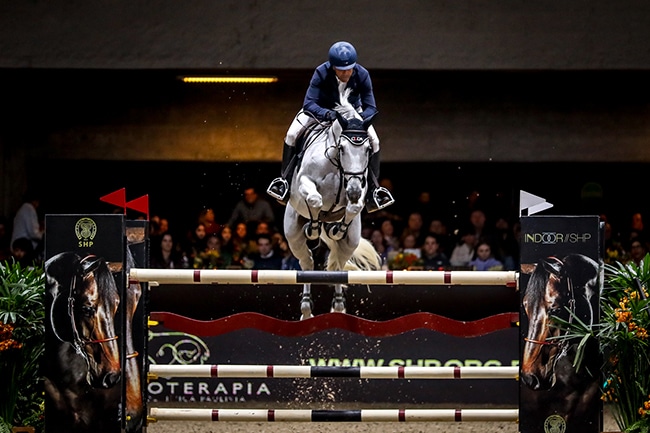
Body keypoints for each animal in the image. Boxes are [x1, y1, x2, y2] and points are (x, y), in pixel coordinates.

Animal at [282, 88, 378, 318]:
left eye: (368, 150)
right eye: (342, 148)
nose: (353, 190)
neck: (337, 165)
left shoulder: (360, 187)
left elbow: (354, 206)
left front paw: (337, 229)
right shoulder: (304, 183)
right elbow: (315, 200)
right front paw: (314, 228)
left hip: (351, 241)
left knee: (336, 267)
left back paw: (338, 307)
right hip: (293, 235)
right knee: (307, 263)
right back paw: (306, 310)